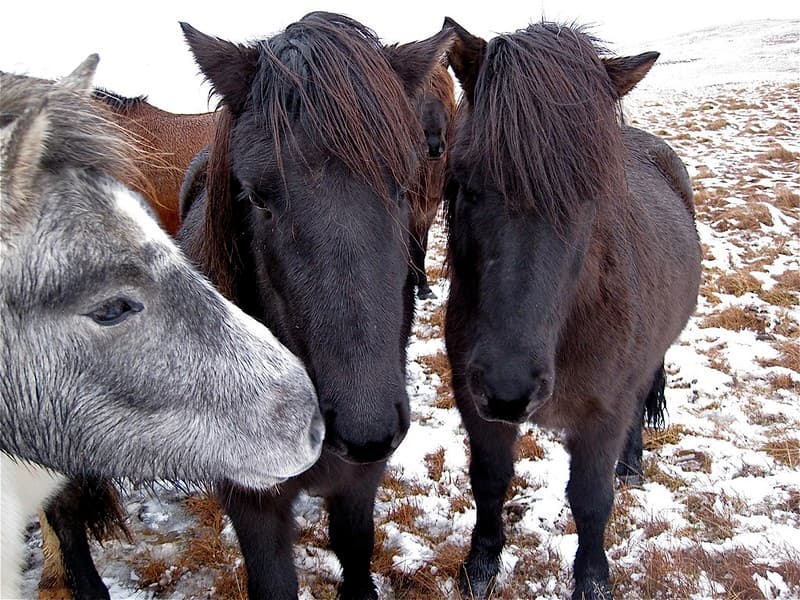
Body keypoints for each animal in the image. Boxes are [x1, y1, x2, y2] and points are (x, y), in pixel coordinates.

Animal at [178, 12, 453, 599]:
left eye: (402, 186)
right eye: (256, 197)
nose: (365, 427)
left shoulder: (359, 485)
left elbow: (355, 553)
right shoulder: (254, 505)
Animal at [442, 19, 701, 599]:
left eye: (591, 194)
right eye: (464, 181)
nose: (509, 387)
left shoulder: (603, 413)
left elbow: (591, 500)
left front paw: (592, 581)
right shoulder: (475, 405)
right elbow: (488, 482)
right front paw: (480, 566)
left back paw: (632, 465)